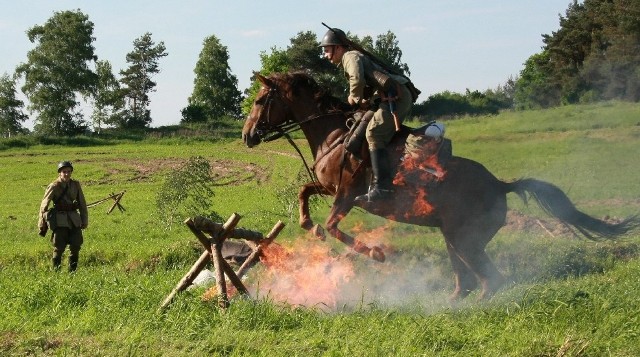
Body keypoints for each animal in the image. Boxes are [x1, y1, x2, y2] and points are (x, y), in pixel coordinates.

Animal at [241, 71, 640, 298]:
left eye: (260, 99)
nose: (247, 136)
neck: (336, 133)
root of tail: (500, 185)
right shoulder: (329, 189)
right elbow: (304, 194)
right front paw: (309, 224)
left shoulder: (348, 195)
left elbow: (336, 227)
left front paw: (374, 252)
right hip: (453, 237)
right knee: (469, 280)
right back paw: (453, 303)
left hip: (466, 240)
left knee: (491, 280)